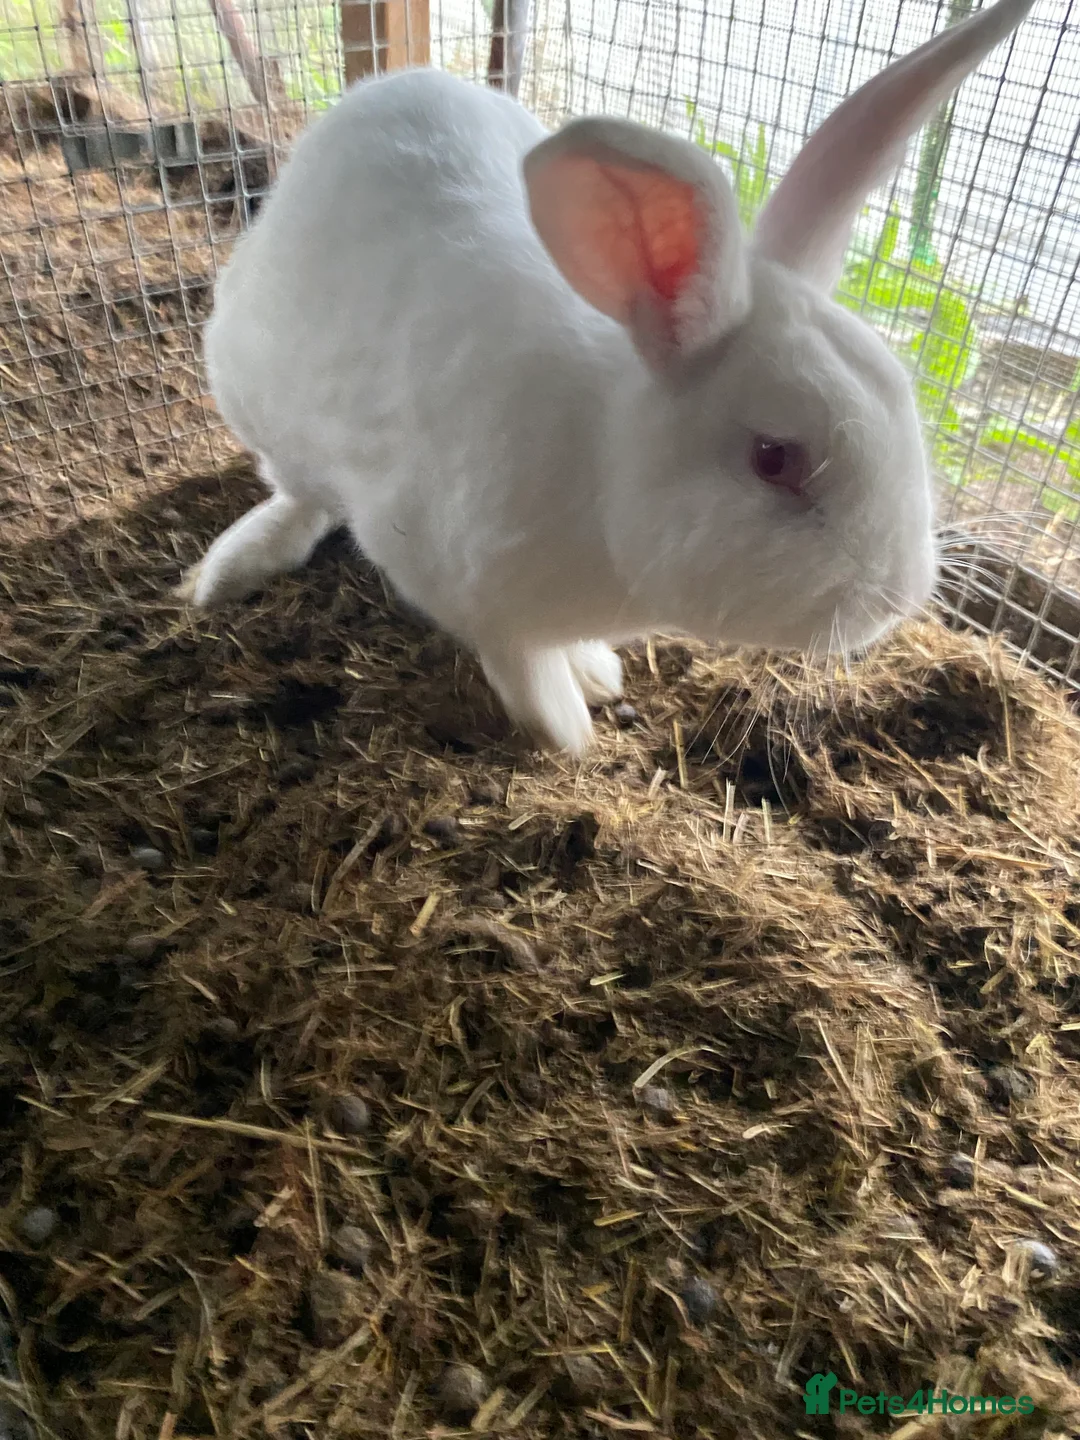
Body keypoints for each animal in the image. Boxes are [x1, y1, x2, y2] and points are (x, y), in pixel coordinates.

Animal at [180, 0, 1035, 757]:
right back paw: (227, 568)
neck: (604, 464)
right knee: (297, 494)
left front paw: (598, 672)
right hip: (254, 393)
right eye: (774, 458)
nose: (900, 597)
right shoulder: (464, 586)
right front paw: (570, 732)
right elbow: (519, 664)